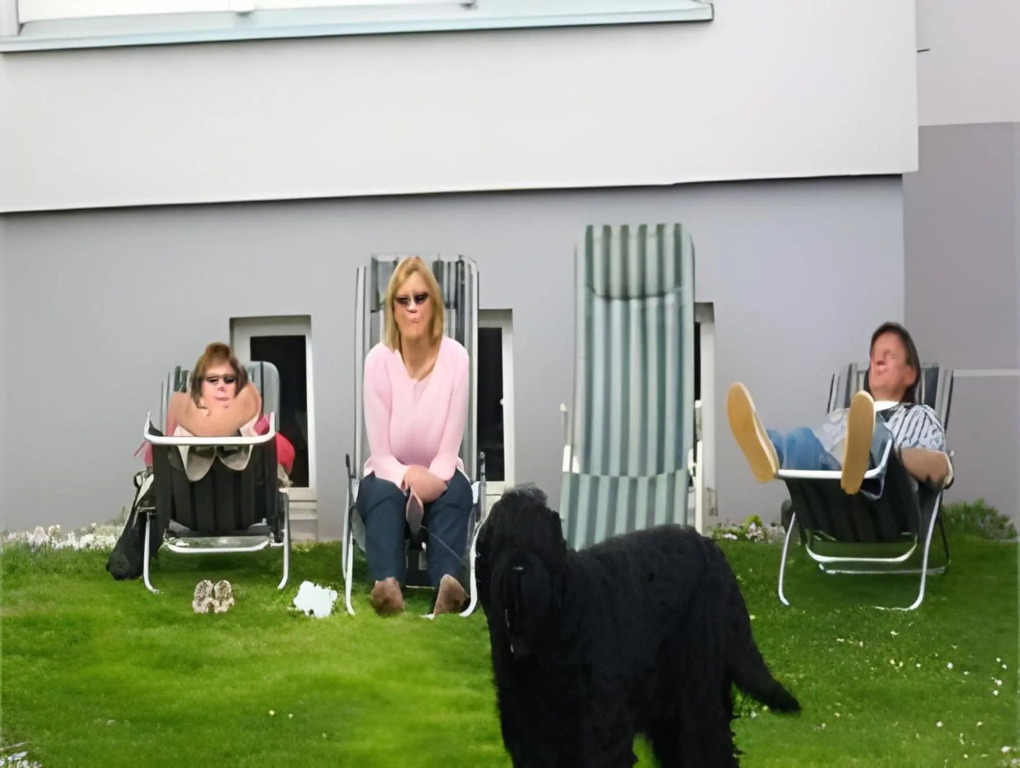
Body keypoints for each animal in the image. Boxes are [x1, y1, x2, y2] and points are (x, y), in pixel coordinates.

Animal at [474, 484, 800, 768]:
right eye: (502, 541)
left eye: (540, 544)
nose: (519, 568)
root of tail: (711, 548)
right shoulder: (528, 731)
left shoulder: (598, 727)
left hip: (697, 689)